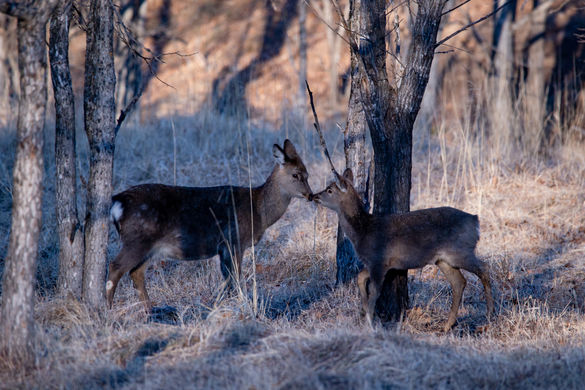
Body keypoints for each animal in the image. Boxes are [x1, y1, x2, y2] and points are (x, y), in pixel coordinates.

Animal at [108, 140, 312, 310]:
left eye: (307, 175)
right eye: (296, 175)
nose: (310, 195)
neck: (258, 210)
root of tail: (117, 202)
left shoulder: (224, 247)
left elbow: (228, 279)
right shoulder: (234, 241)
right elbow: (235, 278)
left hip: (148, 247)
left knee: (136, 273)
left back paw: (149, 311)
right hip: (137, 239)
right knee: (115, 267)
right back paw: (108, 311)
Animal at [310, 169, 492, 330]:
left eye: (329, 190)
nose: (314, 196)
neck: (363, 231)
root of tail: (475, 221)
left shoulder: (379, 260)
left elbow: (374, 292)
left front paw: (370, 323)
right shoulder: (377, 263)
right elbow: (360, 278)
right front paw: (363, 312)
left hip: (460, 251)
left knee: (484, 268)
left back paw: (490, 315)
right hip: (443, 260)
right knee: (459, 282)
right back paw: (447, 326)